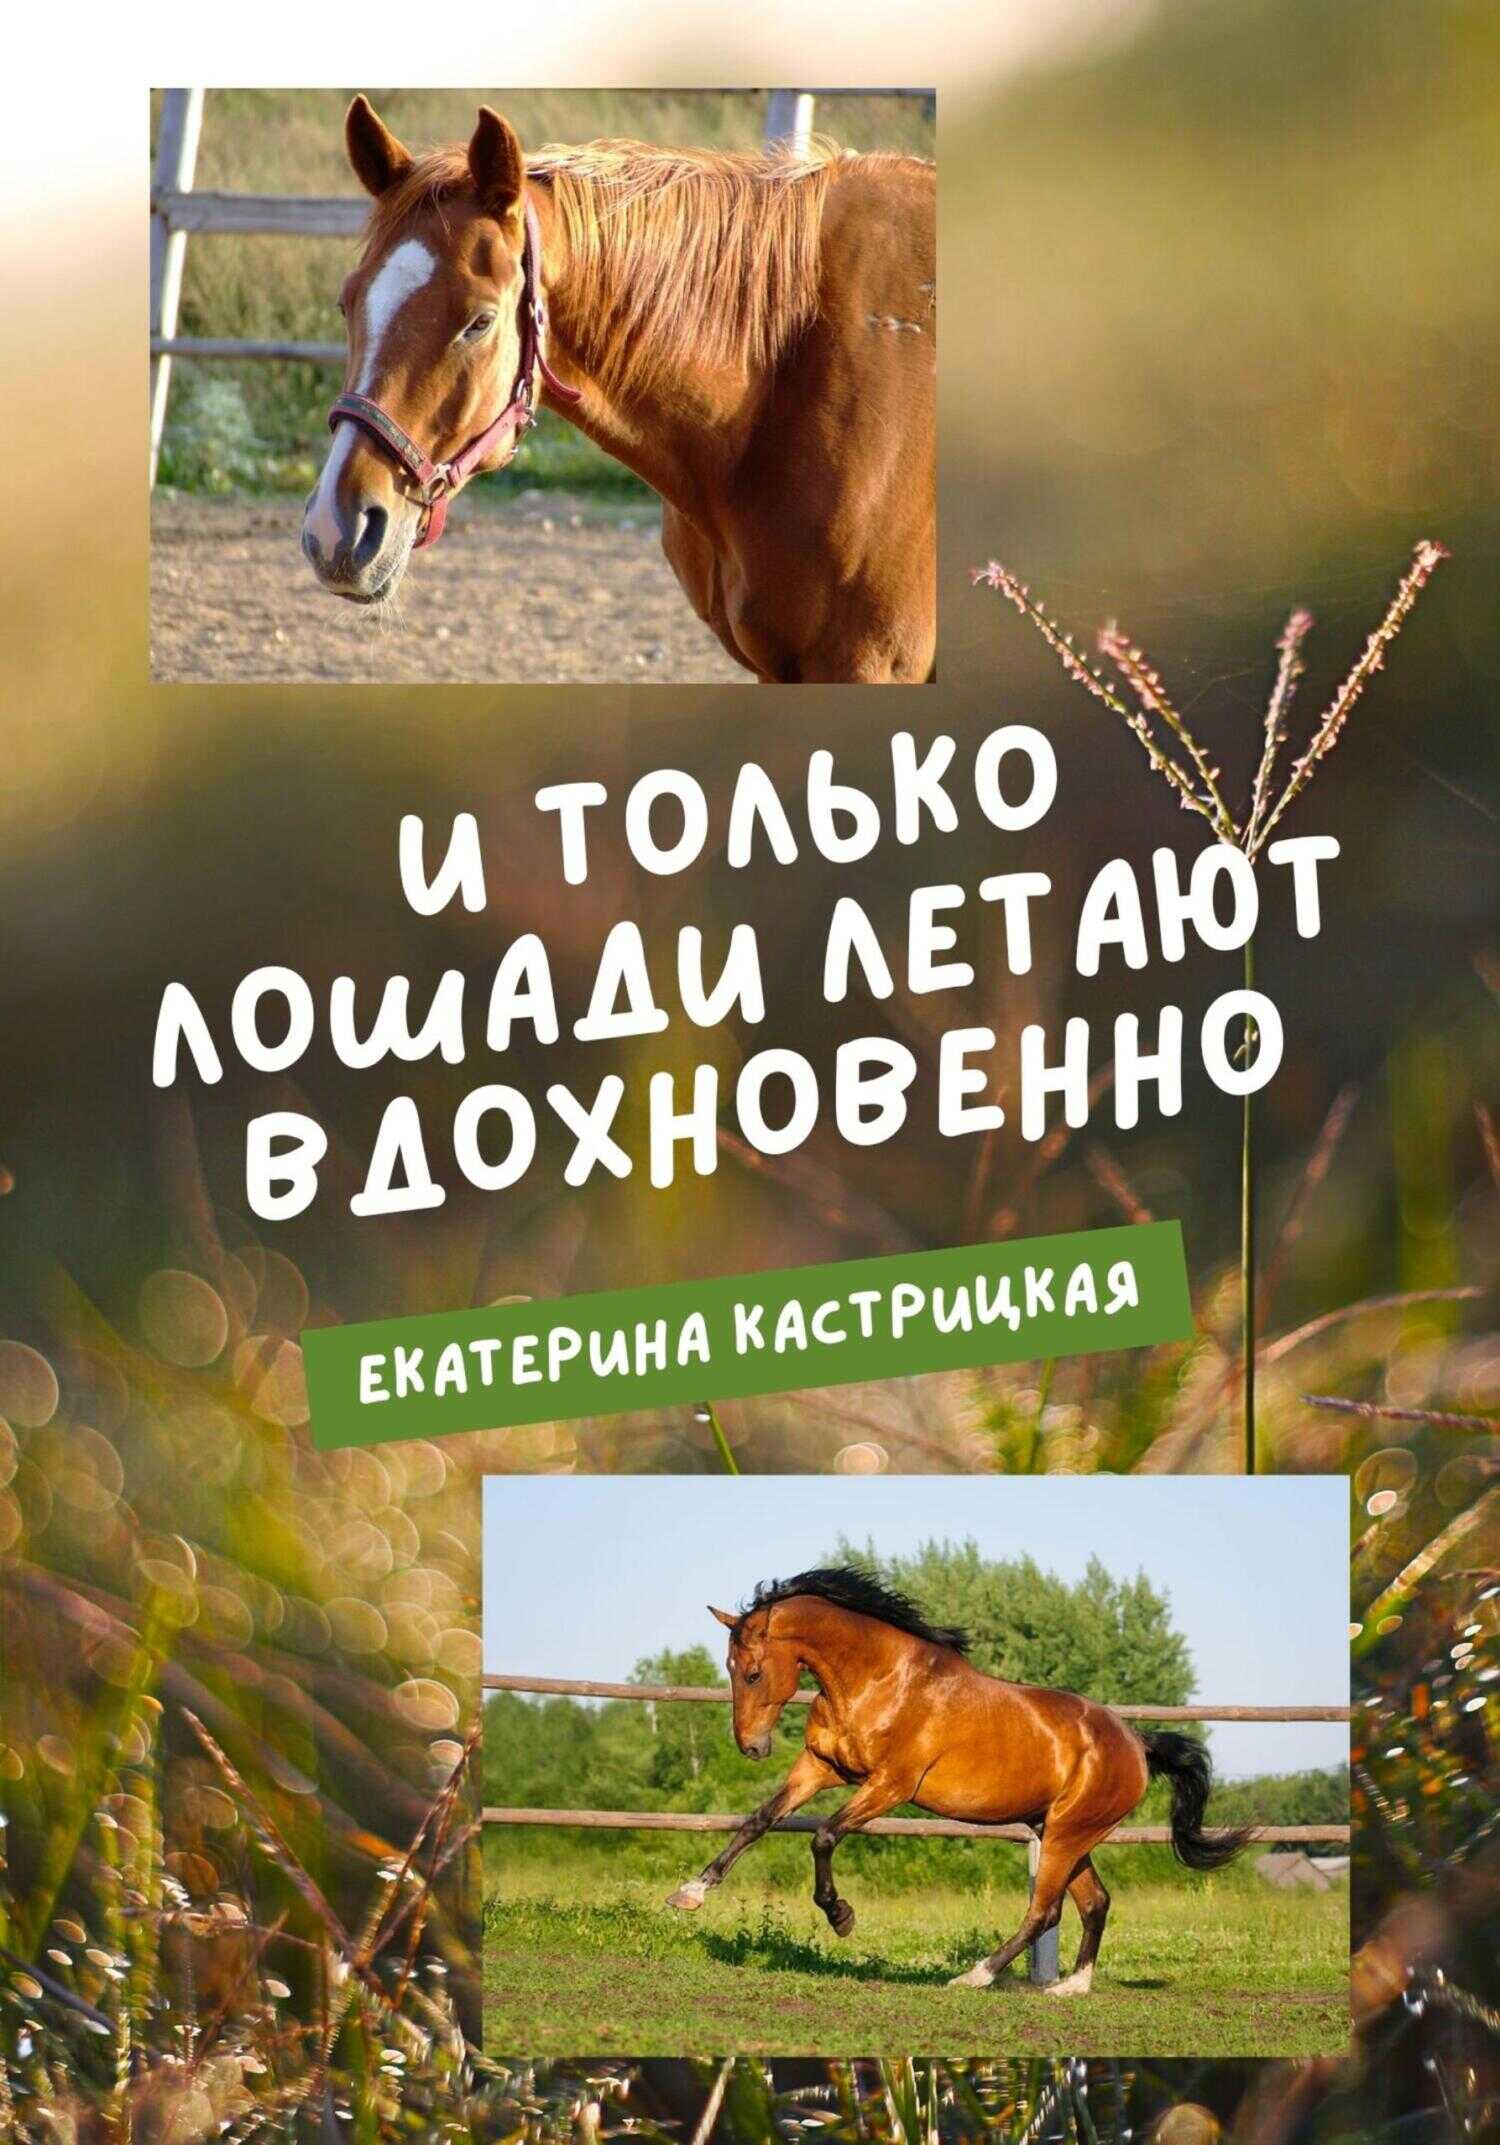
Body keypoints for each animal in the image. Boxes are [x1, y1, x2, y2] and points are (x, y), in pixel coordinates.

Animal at [664, 1566, 1251, 1995]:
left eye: (753, 1672)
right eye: (728, 1668)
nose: (752, 1747)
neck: (879, 1679)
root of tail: (1137, 1743)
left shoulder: (891, 1785)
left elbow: (824, 1835)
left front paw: (841, 1916)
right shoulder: (820, 1768)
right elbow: (758, 1821)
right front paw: (690, 1893)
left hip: (1067, 1832)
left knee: (1045, 1910)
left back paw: (975, 1976)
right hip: (1062, 1830)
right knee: (1094, 1903)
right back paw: (1070, 1988)